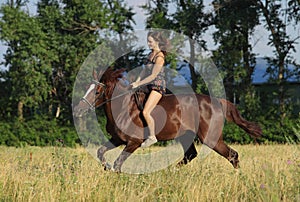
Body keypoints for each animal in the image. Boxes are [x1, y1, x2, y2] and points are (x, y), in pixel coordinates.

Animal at [74, 68, 262, 172]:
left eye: (97, 91)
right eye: (87, 88)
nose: (78, 110)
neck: (121, 107)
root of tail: (217, 101)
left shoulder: (133, 142)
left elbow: (118, 163)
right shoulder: (118, 139)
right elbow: (100, 152)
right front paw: (106, 167)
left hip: (211, 138)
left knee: (232, 155)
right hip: (186, 136)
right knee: (190, 155)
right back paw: (171, 172)